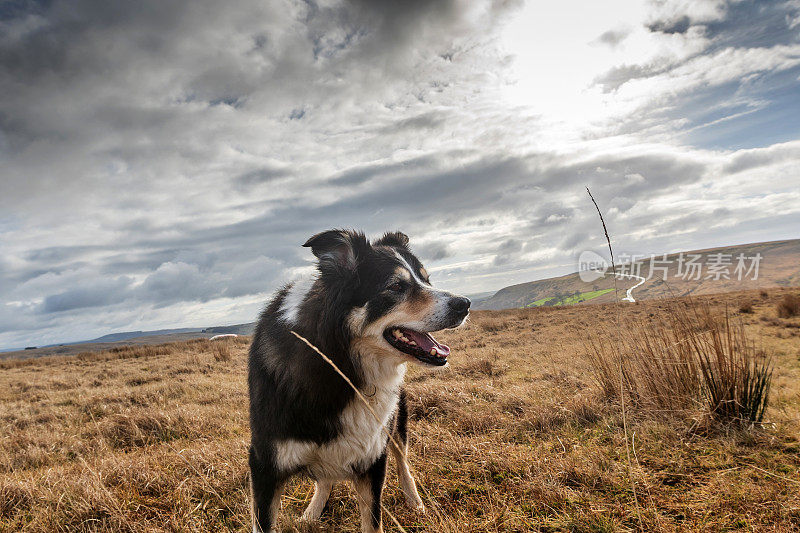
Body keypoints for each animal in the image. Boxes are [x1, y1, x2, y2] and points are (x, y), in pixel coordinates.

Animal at [248, 230, 468, 532]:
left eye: (426, 279)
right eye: (396, 286)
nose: (465, 304)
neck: (341, 365)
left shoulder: (373, 459)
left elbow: (373, 521)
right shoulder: (264, 466)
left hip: (396, 424)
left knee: (403, 461)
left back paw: (415, 501)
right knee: (326, 478)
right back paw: (313, 511)